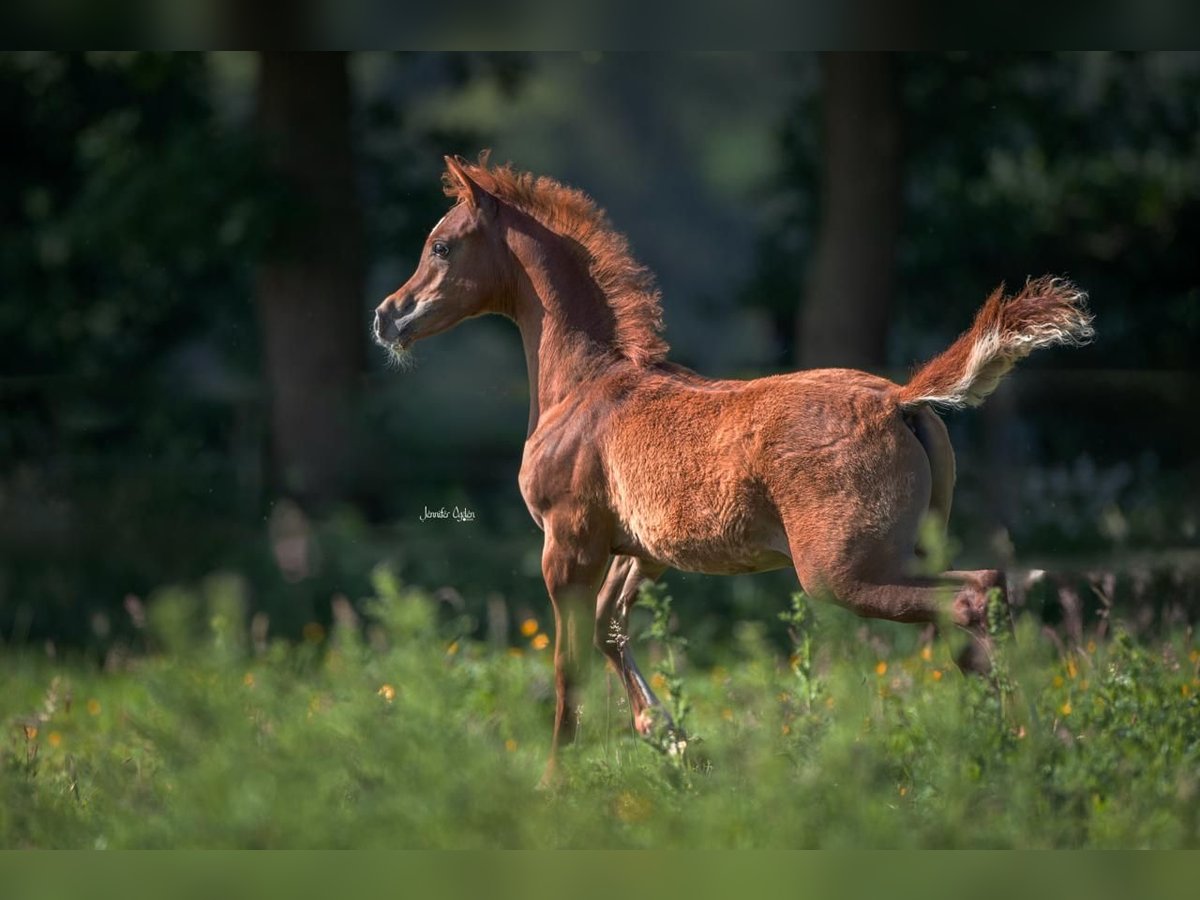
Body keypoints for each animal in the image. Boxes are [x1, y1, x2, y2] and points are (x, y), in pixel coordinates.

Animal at [374, 157, 1099, 782]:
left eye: (441, 246)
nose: (387, 316)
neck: (585, 386)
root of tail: (901, 399)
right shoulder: (642, 550)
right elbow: (611, 628)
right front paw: (669, 736)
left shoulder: (568, 543)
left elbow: (567, 663)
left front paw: (555, 782)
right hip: (910, 548)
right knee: (981, 598)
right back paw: (1026, 743)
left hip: (840, 571)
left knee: (971, 597)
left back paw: (1023, 744)